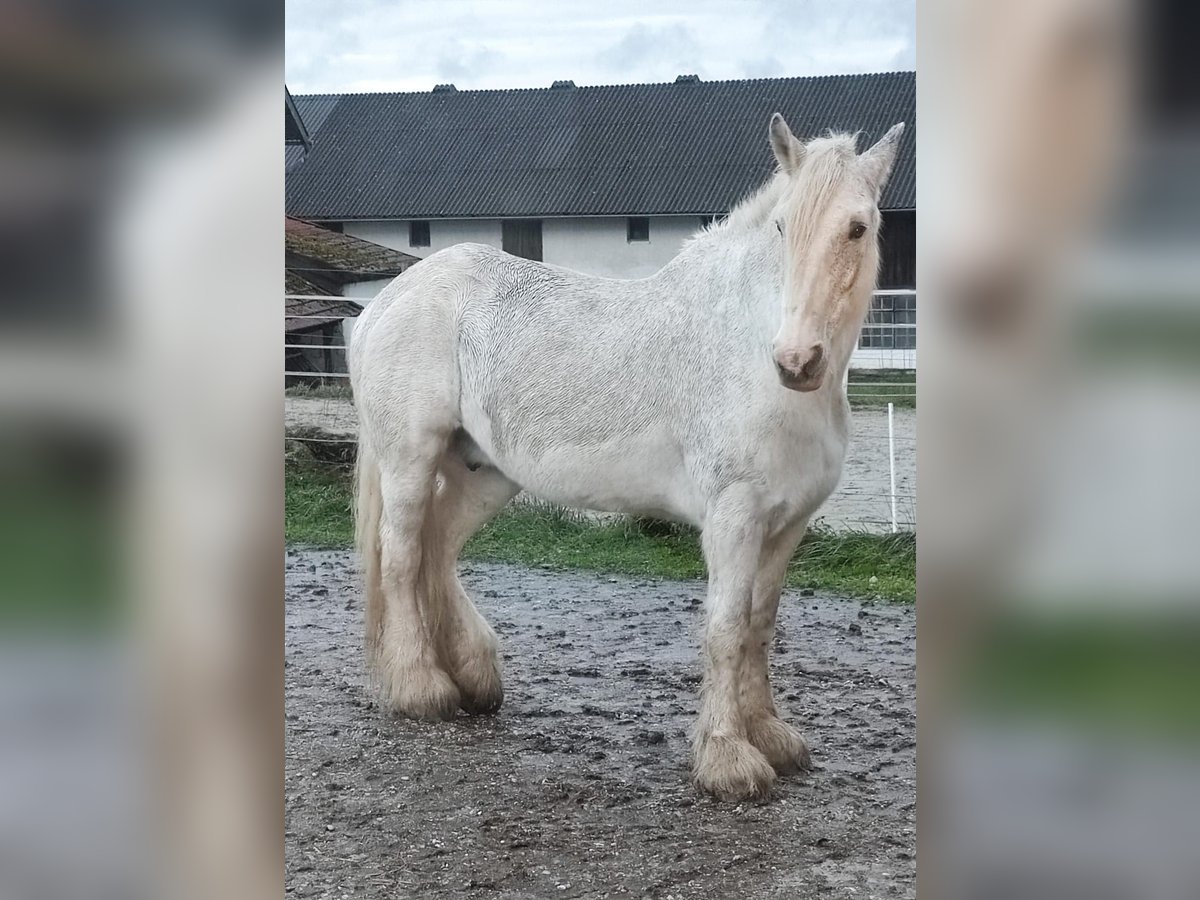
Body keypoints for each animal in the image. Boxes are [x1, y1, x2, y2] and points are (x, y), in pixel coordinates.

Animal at [348, 114, 904, 801]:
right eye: (782, 228)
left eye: (858, 227)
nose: (797, 361)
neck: (748, 352)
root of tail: (385, 302)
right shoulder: (734, 517)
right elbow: (726, 626)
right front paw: (727, 758)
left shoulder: (788, 523)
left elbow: (759, 625)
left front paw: (771, 737)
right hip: (409, 459)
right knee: (401, 557)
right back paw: (421, 688)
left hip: (485, 472)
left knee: (438, 547)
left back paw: (473, 677)